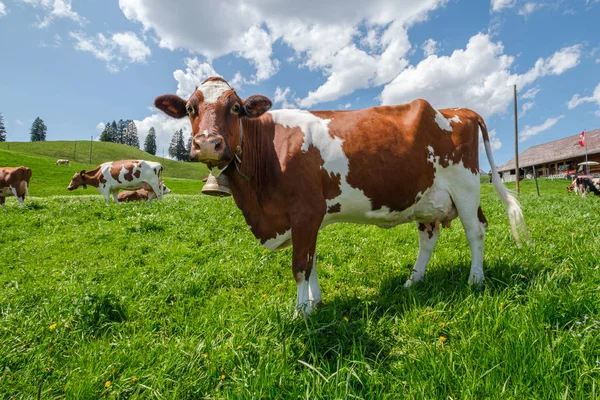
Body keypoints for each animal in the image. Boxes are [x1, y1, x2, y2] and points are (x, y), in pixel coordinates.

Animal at [154, 77, 524, 316]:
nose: (207, 143)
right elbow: (312, 261)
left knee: (476, 231)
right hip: (427, 199)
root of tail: (460, 109)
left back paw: (475, 280)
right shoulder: (308, 220)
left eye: (235, 108)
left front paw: (300, 312)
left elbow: (300, 266)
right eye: (190, 108)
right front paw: (315, 304)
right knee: (428, 239)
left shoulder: (304, 213)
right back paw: (412, 281)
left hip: (465, 187)